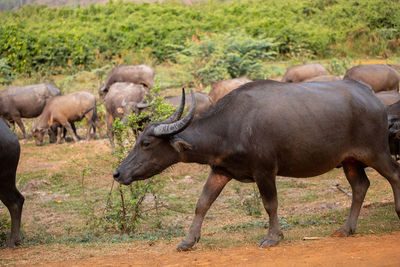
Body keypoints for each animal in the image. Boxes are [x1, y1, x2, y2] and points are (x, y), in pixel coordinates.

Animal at [112, 81, 400, 251]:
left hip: (376, 152)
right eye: (138, 139)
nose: (118, 172)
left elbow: (270, 204)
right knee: (360, 186)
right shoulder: (220, 171)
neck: (230, 126)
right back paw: (346, 229)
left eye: (146, 143)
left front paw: (273, 237)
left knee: (394, 174)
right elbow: (202, 203)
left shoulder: (265, 170)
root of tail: (372, 97)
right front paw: (188, 240)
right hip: (349, 161)